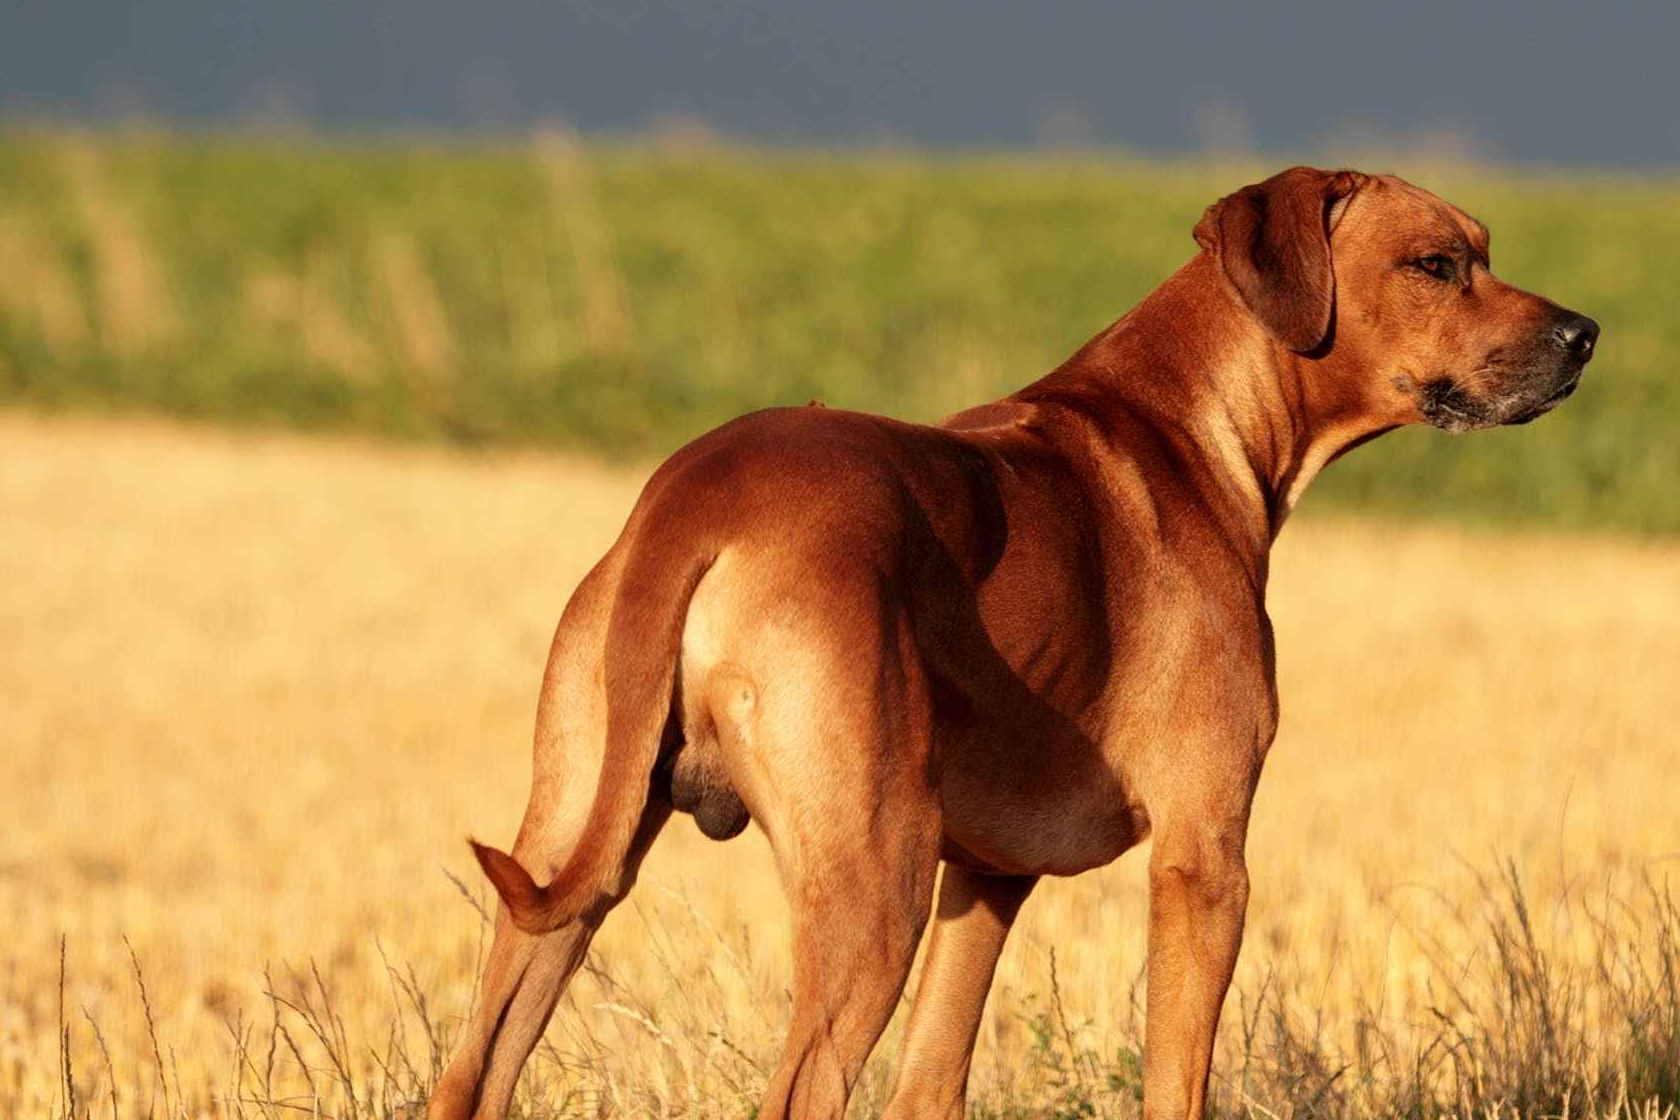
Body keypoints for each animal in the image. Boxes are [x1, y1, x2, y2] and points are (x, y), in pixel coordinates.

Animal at [426, 166, 1592, 1120]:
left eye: (1483, 250)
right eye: (1437, 264)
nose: (1585, 333)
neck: (1188, 420)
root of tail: (699, 496)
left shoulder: (987, 875)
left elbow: (931, 1082)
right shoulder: (1205, 860)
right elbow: (1176, 1083)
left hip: (571, 849)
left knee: (475, 1069)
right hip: (872, 887)